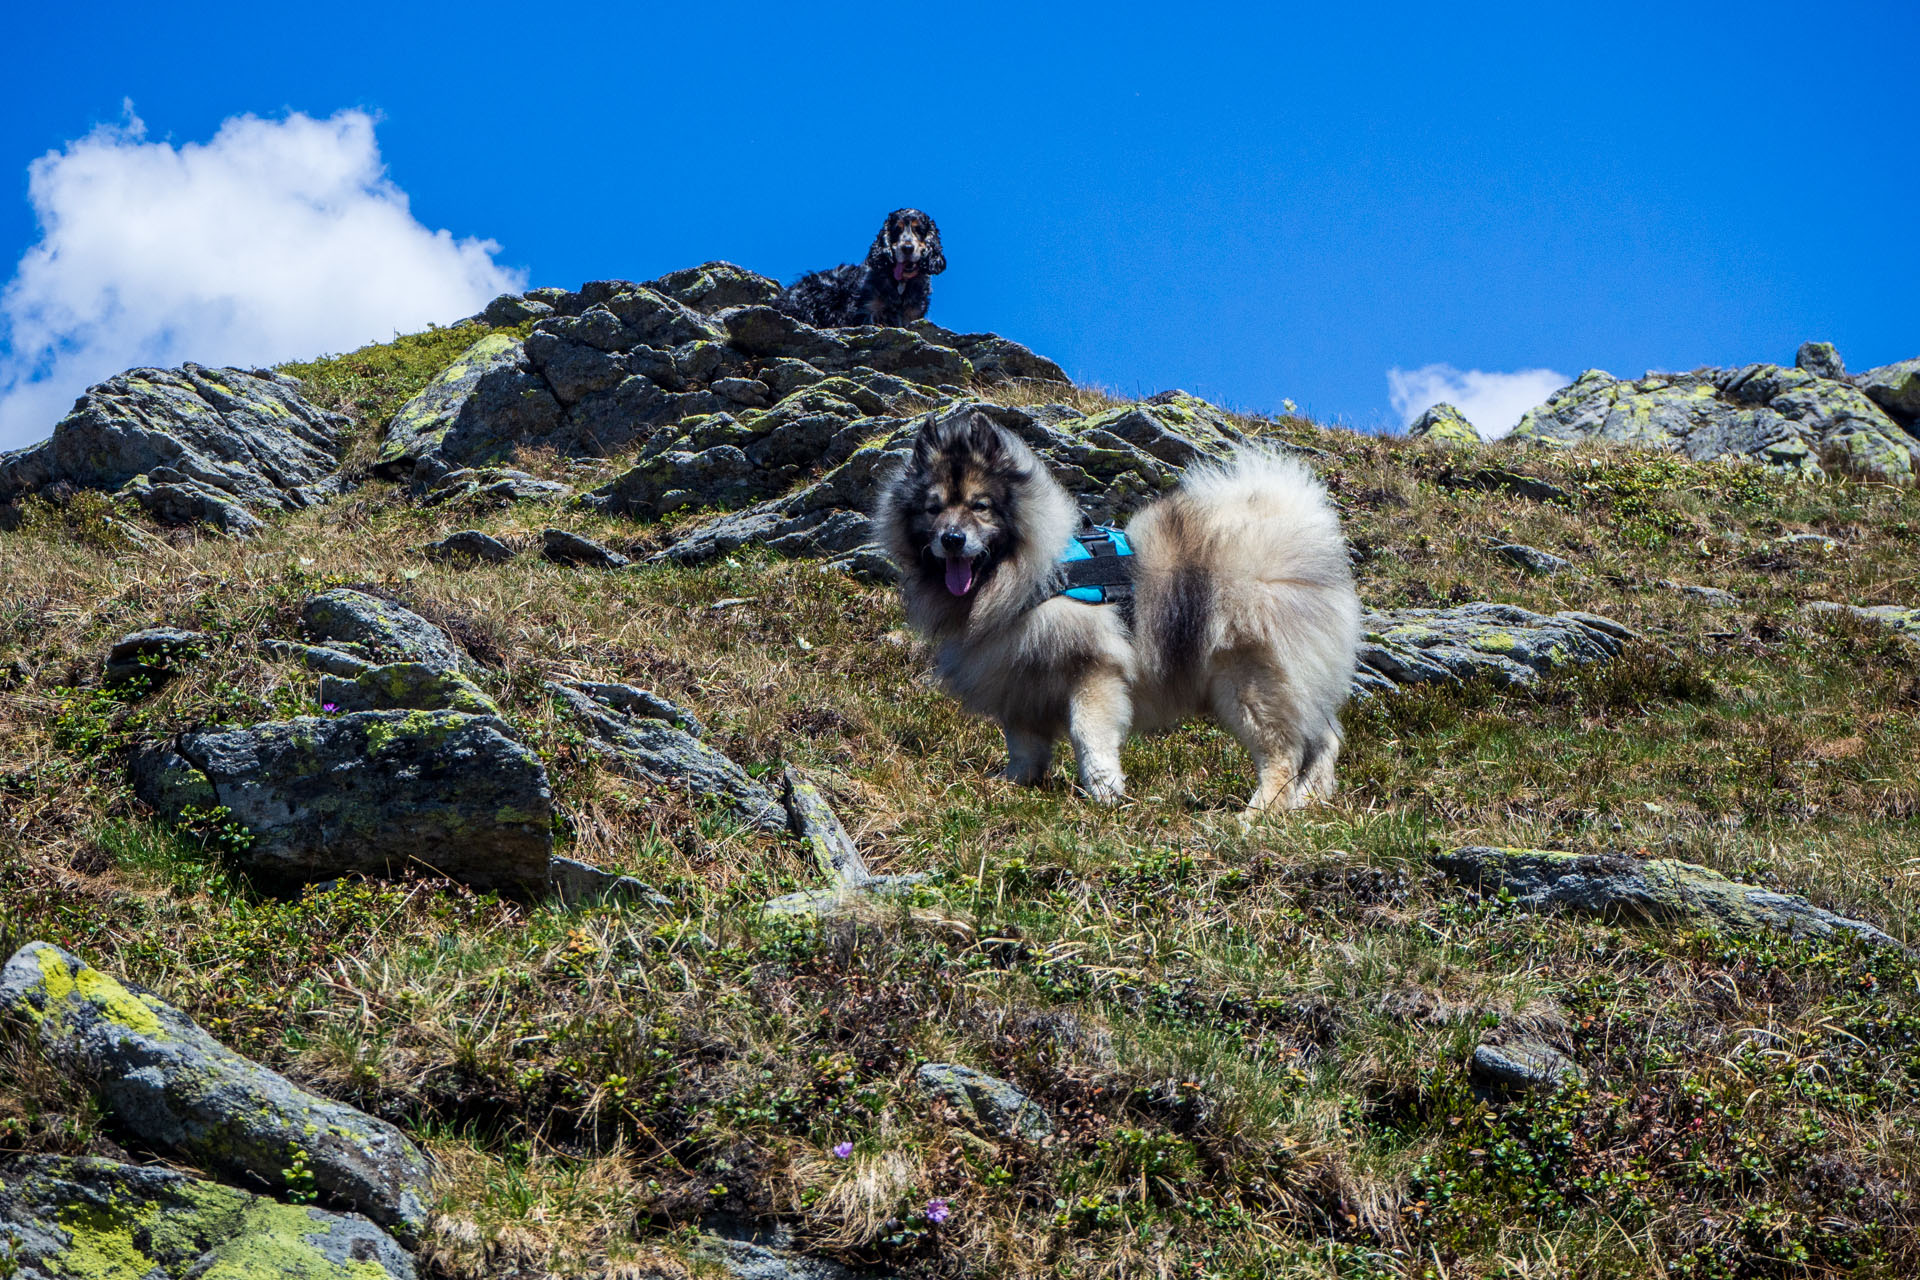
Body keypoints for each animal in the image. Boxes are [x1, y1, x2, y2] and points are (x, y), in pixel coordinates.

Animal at [879, 410, 1359, 809]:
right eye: (933, 509)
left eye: (980, 506)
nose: (952, 539)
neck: (1028, 575)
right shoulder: (1018, 681)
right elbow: (1024, 746)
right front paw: (1013, 782)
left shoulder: (1092, 670)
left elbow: (1088, 735)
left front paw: (1105, 791)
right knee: (1325, 739)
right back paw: (1306, 802)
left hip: (1250, 683)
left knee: (1283, 752)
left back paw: (1257, 814)